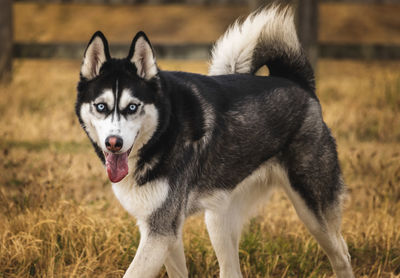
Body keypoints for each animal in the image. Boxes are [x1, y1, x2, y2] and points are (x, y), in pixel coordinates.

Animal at [75, 4, 354, 278]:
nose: (114, 142)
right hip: (219, 218)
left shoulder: (160, 231)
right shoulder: (165, 232)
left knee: (342, 254)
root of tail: (297, 81)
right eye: (101, 106)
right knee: (232, 271)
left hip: (312, 211)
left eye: (132, 107)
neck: (163, 130)